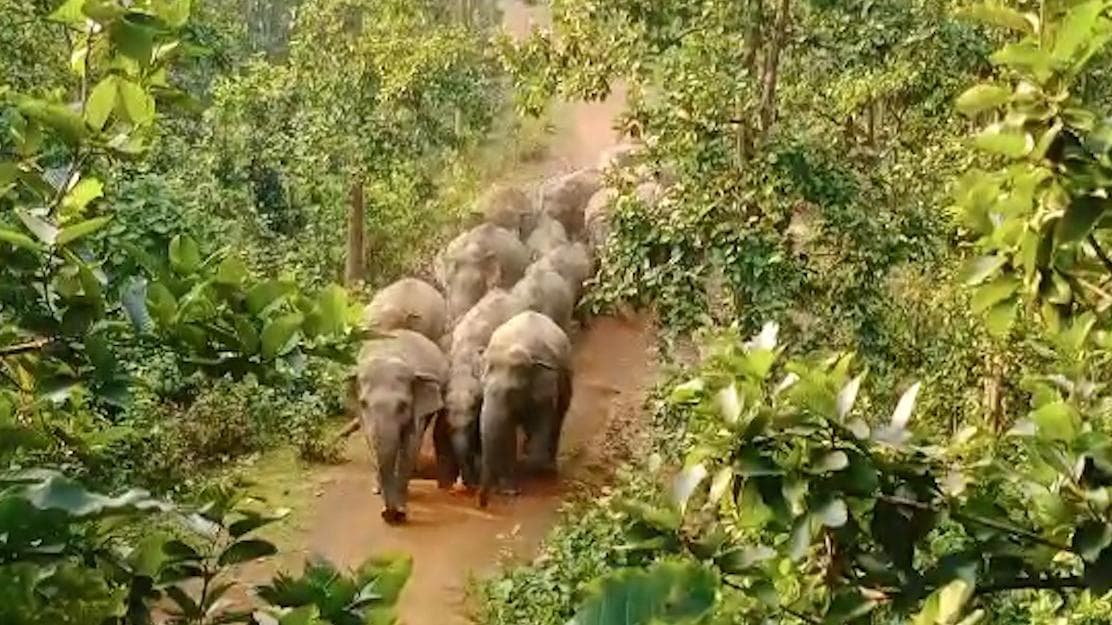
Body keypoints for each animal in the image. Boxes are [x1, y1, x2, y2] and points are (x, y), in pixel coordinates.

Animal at [356, 330, 452, 523]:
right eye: (363, 404)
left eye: (403, 406)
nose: (387, 513)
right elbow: (371, 443)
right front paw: (381, 497)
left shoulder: (417, 409)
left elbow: (410, 445)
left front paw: (400, 511)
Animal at [478, 311, 572, 508]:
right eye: (483, 386)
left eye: (512, 392)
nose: (482, 503)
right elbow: (506, 432)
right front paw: (509, 490)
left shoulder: (546, 386)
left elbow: (542, 422)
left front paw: (536, 469)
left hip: (567, 374)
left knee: (558, 417)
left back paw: (548, 466)